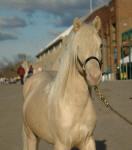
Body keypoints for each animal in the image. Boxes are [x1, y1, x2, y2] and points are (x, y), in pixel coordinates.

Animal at [22, 16, 102, 150]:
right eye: (78, 46)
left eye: (101, 44)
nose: (94, 76)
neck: (75, 107)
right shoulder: (61, 144)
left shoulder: (88, 141)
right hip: (30, 136)